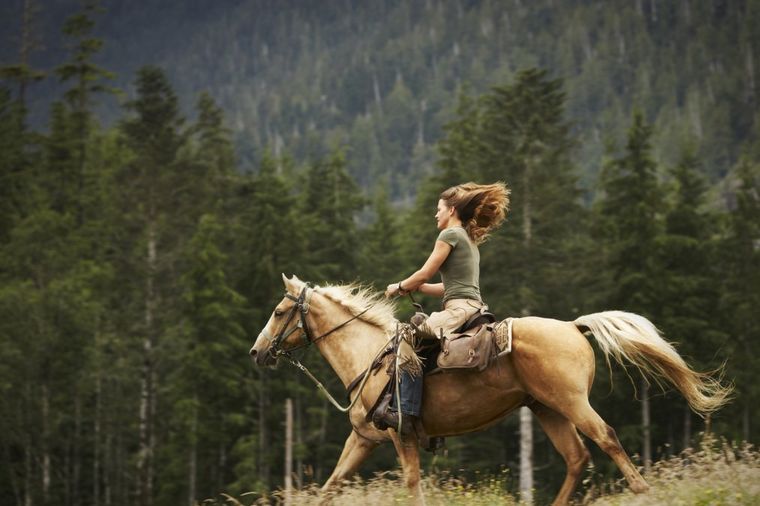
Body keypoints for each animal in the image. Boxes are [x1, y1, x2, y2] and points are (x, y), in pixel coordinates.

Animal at [249, 274, 732, 504]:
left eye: (278, 311)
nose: (257, 351)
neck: (370, 357)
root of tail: (574, 326)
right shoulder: (363, 439)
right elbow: (331, 485)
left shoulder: (400, 436)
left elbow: (411, 483)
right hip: (546, 408)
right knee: (577, 458)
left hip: (572, 403)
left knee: (607, 440)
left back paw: (643, 493)